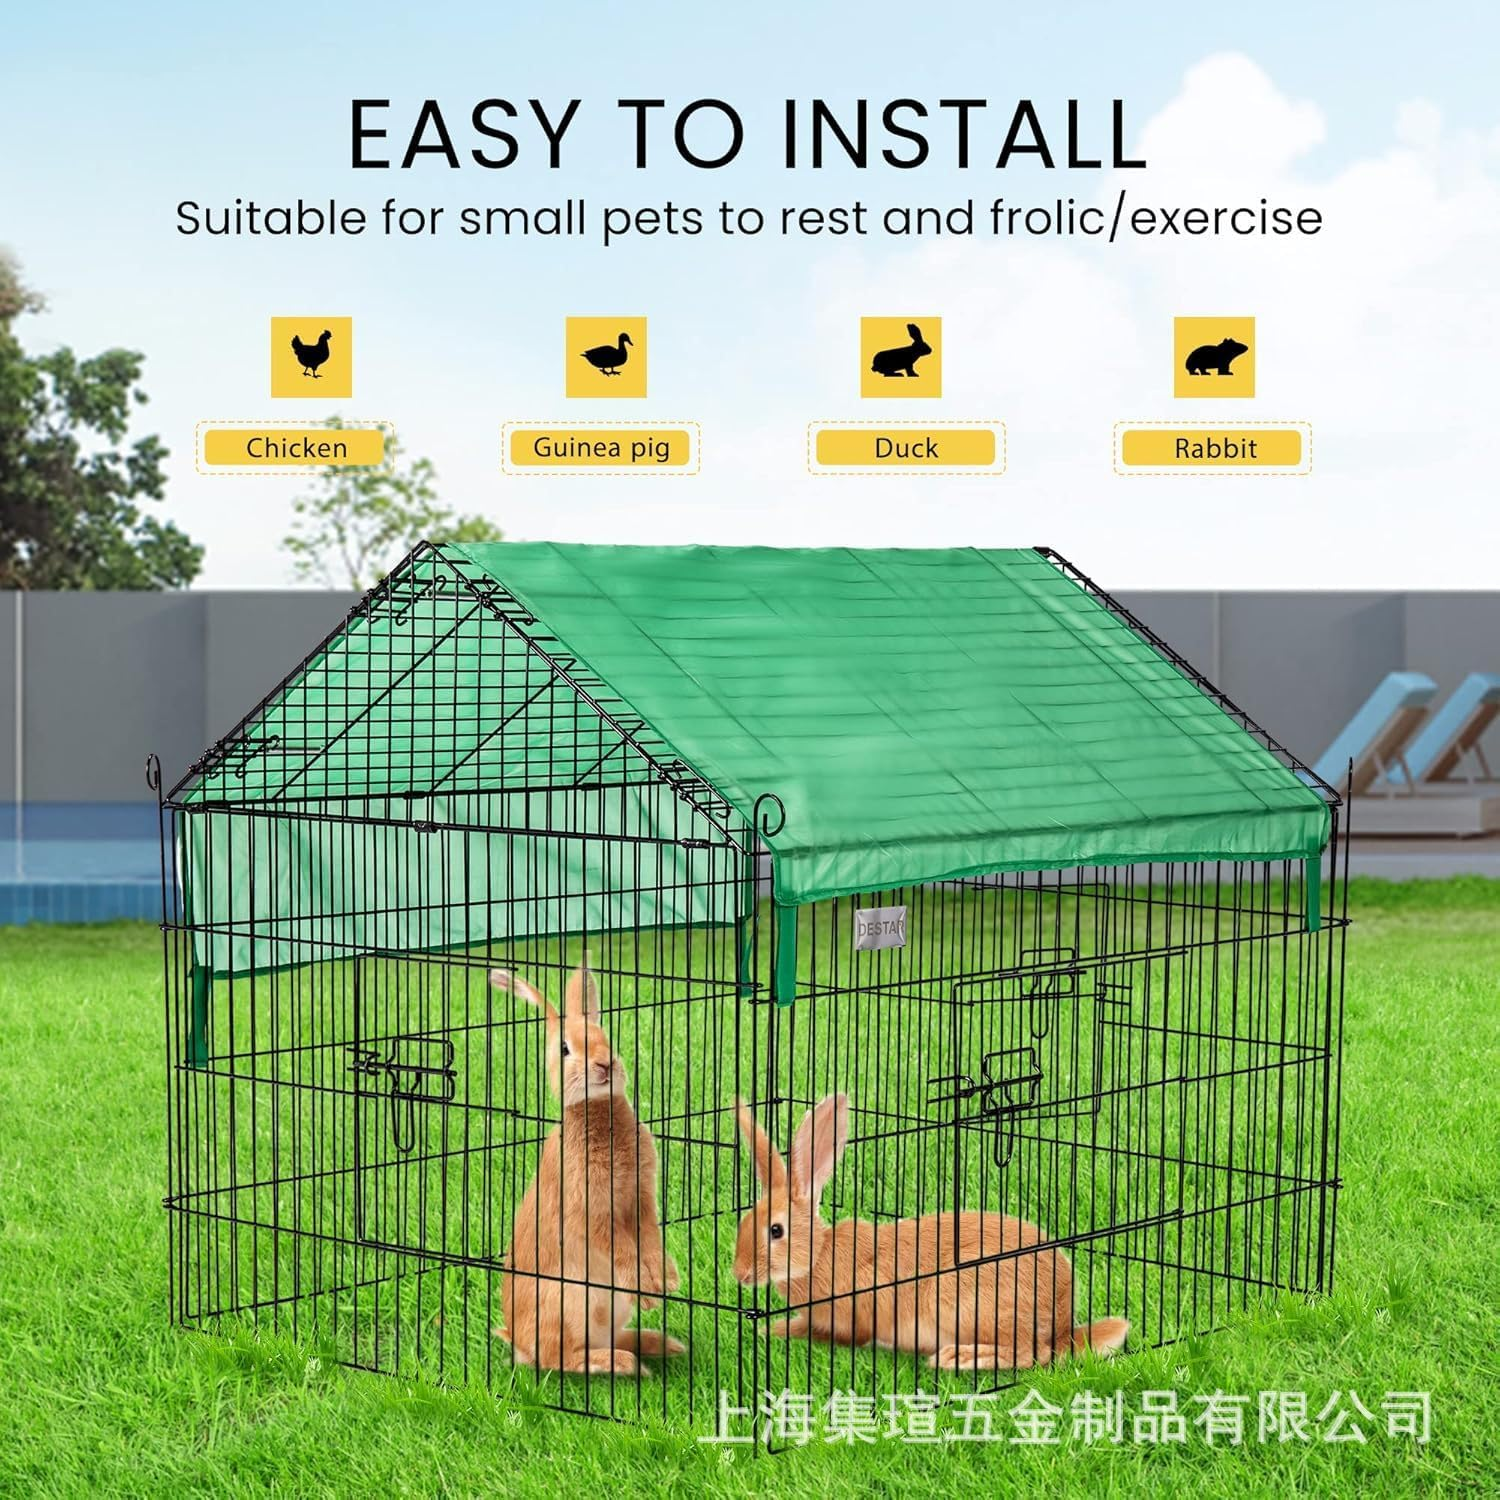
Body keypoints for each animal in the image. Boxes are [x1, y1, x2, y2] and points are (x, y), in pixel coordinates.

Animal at [490, 957, 683, 1375]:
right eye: (565, 1049)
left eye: (604, 1037)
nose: (605, 1064)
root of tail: (517, 1342)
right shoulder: (592, 1212)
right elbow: (622, 1249)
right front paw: (649, 1290)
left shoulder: (641, 1200)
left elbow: (649, 1239)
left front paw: (666, 1282)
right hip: (572, 1301)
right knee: (560, 1357)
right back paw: (624, 1364)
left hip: (608, 1307)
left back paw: (662, 1344)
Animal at [734, 1094, 1128, 1371]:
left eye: (775, 1230)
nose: (740, 1274)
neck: (817, 1257)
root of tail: (1063, 1320)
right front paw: (769, 1328)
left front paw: (772, 1330)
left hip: (969, 1302)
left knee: (1033, 1354)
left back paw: (959, 1358)